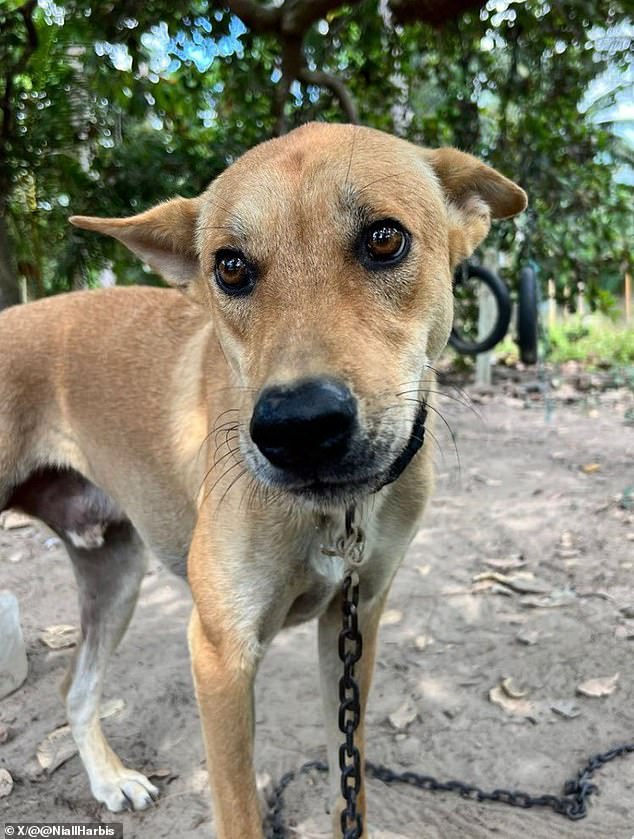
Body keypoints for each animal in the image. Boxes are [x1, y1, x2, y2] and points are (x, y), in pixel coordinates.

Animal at [0, 121, 524, 836]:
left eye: (384, 238)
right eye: (230, 266)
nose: (298, 428)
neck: (334, 518)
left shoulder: (355, 624)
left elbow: (349, 777)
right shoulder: (220, 654)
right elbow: (240, 808)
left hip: (116, 572)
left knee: (73, 687)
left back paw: (109, 780)